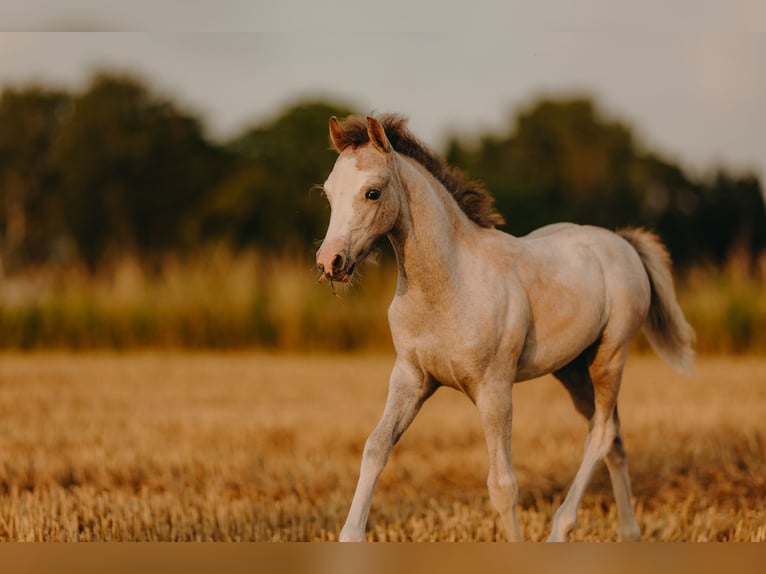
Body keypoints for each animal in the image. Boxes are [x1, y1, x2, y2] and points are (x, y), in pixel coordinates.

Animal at [315, 114, 694, 542]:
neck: (450, 283)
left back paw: (561, 529)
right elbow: (376, 447)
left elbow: (502, 485)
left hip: (609, 357)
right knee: (613, 434)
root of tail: (623, 243)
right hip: (572, 370)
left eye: (373, 192)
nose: (330, 262)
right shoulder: (411, 378)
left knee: (599, 434)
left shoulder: (494, 388)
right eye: (329, 194)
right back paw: (629, 533)